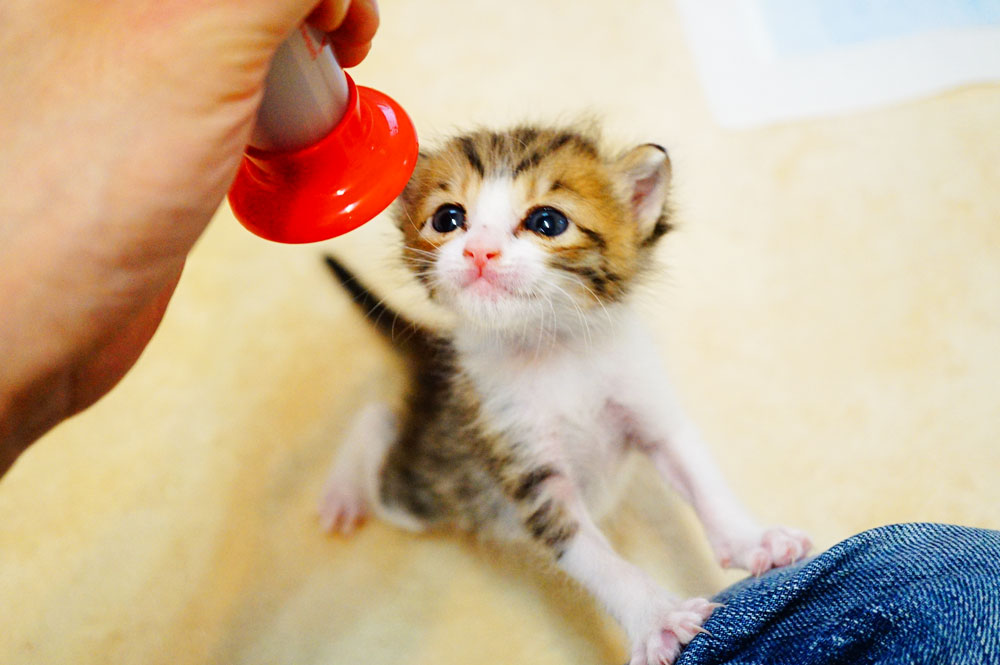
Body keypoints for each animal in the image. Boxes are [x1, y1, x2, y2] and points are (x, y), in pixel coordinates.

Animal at [320, 126, 812, 664]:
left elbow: (702, 479)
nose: (479, 250)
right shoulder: (523, 460)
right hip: (427, 498)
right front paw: (656, 617)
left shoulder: (647, 406)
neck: (552, 347)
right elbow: (594, 557)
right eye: (448, 218)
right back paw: (344, 489)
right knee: (379, 430)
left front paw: (753, 541)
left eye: (547, 222)